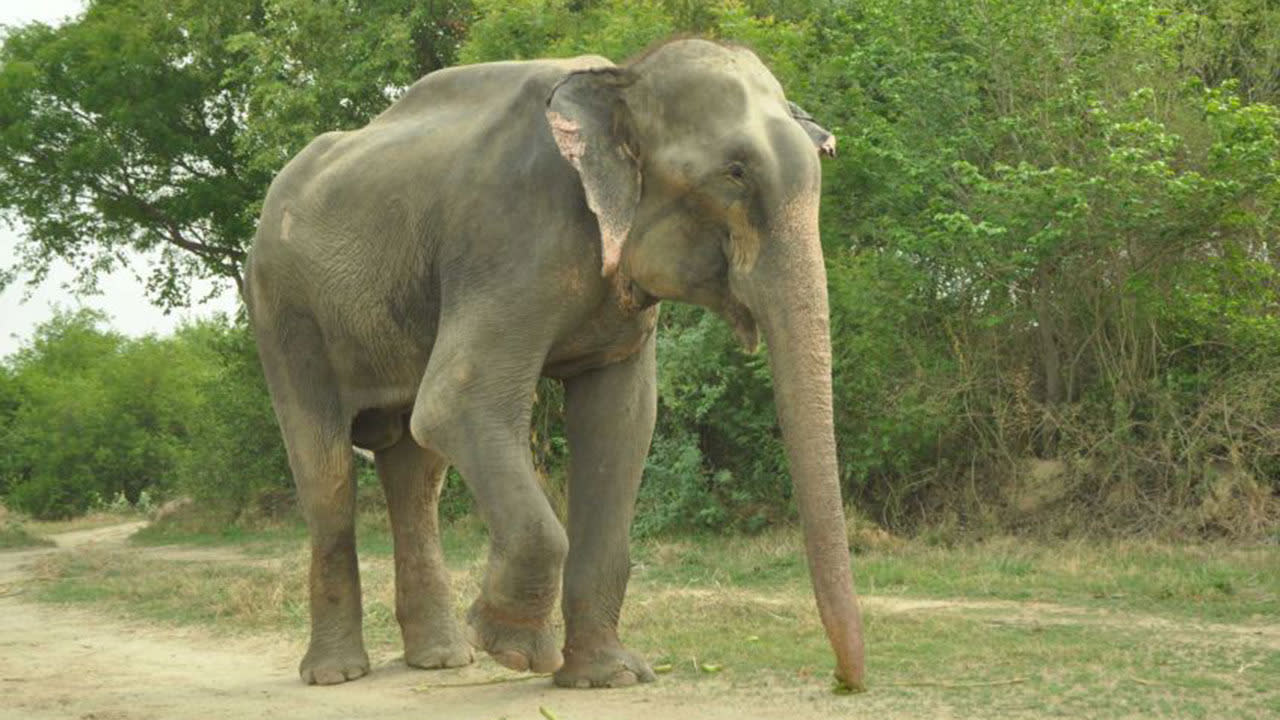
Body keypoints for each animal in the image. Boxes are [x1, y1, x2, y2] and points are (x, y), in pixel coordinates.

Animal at [244, 36, 865, 686]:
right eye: (735, 173)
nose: (846, 682)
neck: (621, 78)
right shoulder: (510, 235)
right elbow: (456, 403)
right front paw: (515, 651)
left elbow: (621, 422)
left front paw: (607, 677)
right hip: (284, 312)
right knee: (329, 473)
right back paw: (338, 674)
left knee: (416, 474)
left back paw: (441, 659)